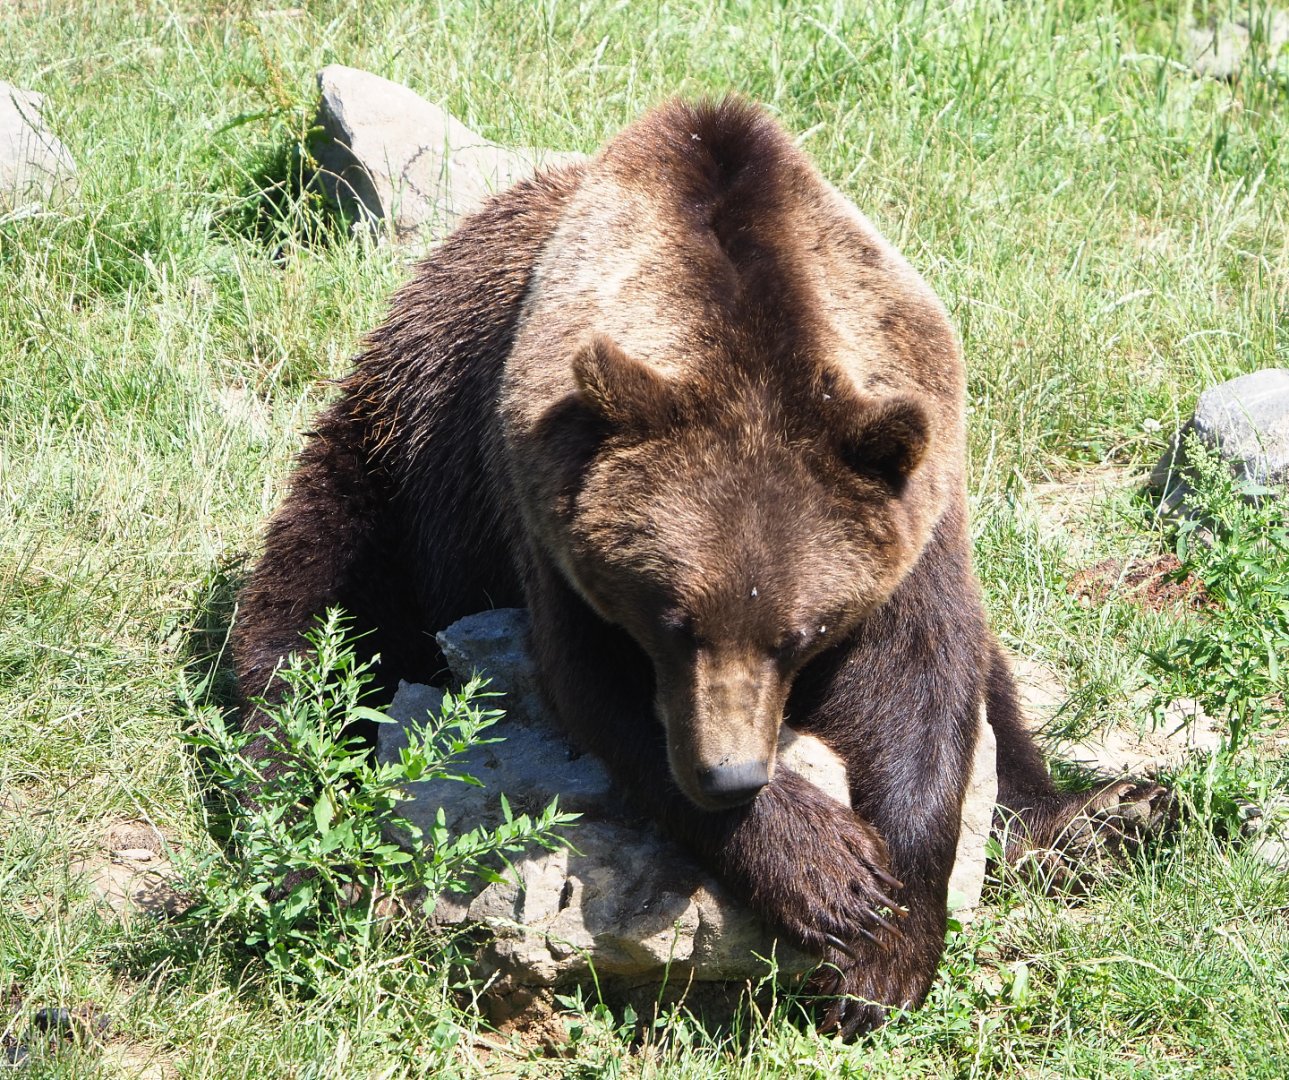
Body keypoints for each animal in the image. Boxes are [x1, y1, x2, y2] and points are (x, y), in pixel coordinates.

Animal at [232, 97, 1164, 1035]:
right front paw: (825, 871)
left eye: (800, 633)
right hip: (402, 460)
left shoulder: (916, 505)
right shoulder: (542, 515)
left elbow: (924, 687)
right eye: (670, 620)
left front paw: (885, 946)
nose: (730, 775)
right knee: (313, 619)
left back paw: (1102, 820)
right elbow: (602, 696)